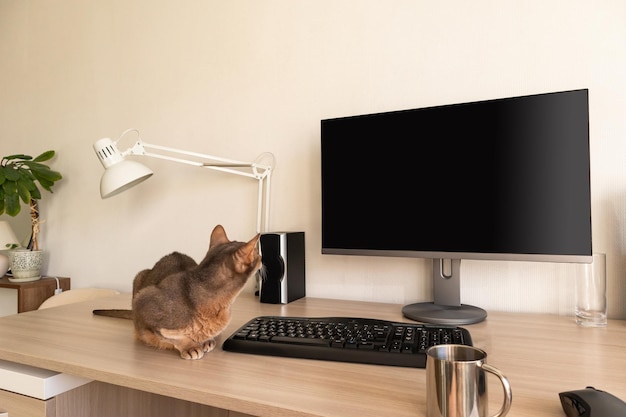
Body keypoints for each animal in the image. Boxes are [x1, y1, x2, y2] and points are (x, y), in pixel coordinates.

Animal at [92, 224, 260, 358]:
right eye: (257, 253)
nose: (261, 256)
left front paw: (206, 341)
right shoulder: (143, 303)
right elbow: (168, 336)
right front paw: (190, 346)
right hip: (139, 279)